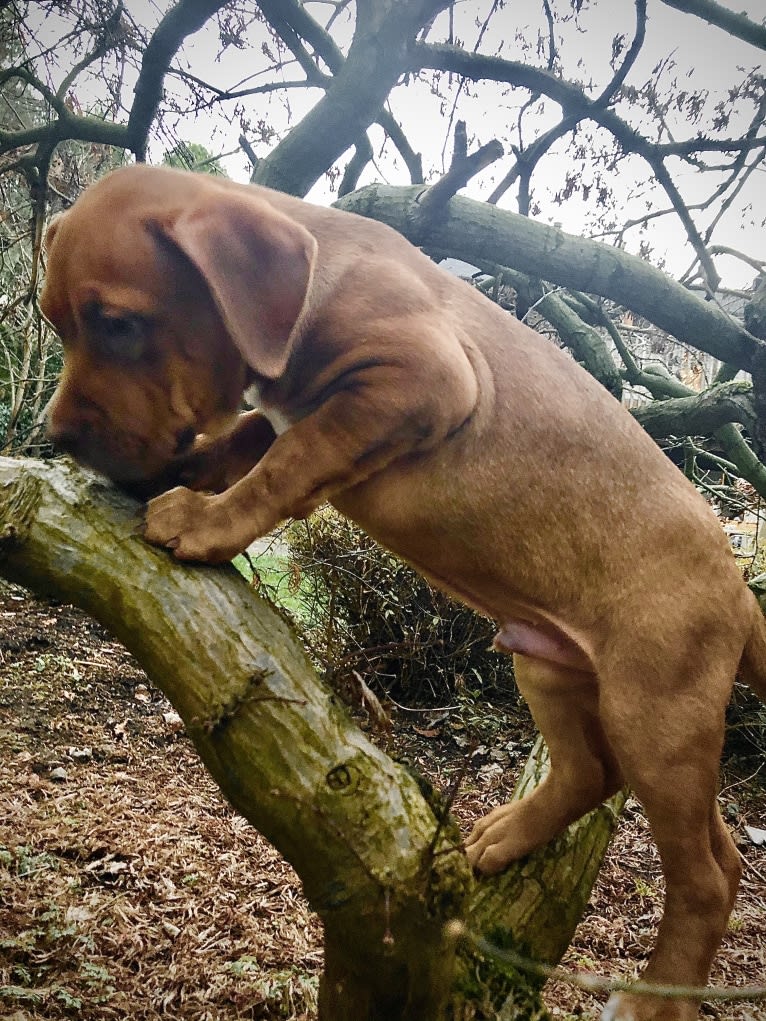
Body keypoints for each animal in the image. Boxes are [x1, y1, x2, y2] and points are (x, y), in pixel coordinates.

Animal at [40, 163, 766, 1016]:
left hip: (657, 709)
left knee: (710, 871)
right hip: (549, 663)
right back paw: (507, 837)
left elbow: (291, 460)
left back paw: (655, 997)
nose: (55, 436)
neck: (318, 280)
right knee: (594, 773)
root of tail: (742, 591)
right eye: (55, 323)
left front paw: (206, 523)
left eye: (118, 323)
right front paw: (189, 477)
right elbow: (254, 439)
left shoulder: (420, 377)